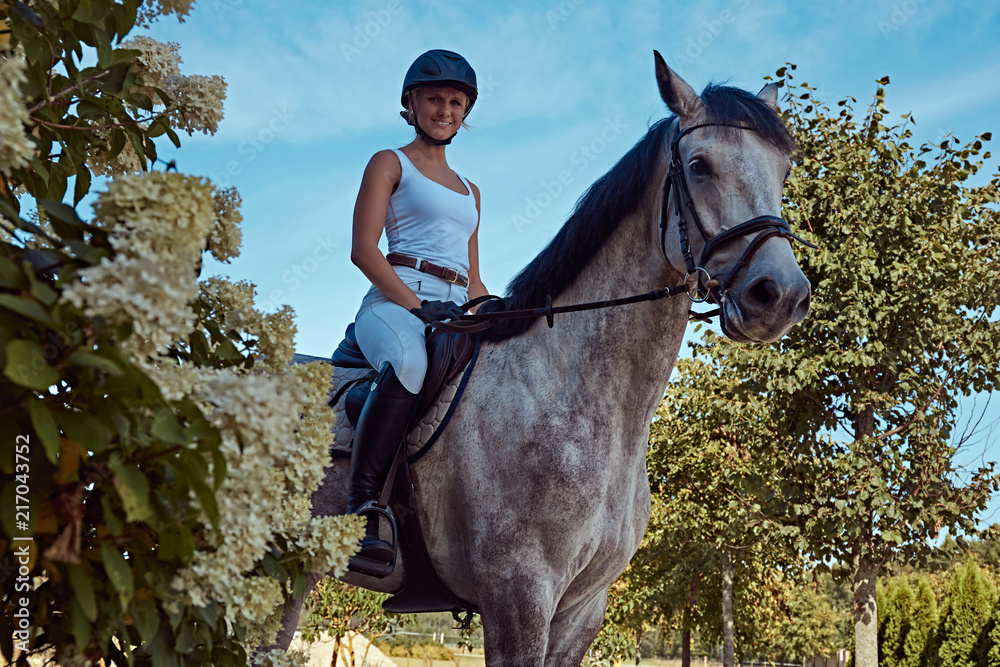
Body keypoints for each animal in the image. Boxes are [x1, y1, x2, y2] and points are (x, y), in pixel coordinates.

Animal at [265, 52, 812, 665]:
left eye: (783, 173)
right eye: (699, 166)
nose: (780, 296)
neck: (570, 394)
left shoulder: (582, 609)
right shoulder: (519, 595)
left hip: (291, 569)